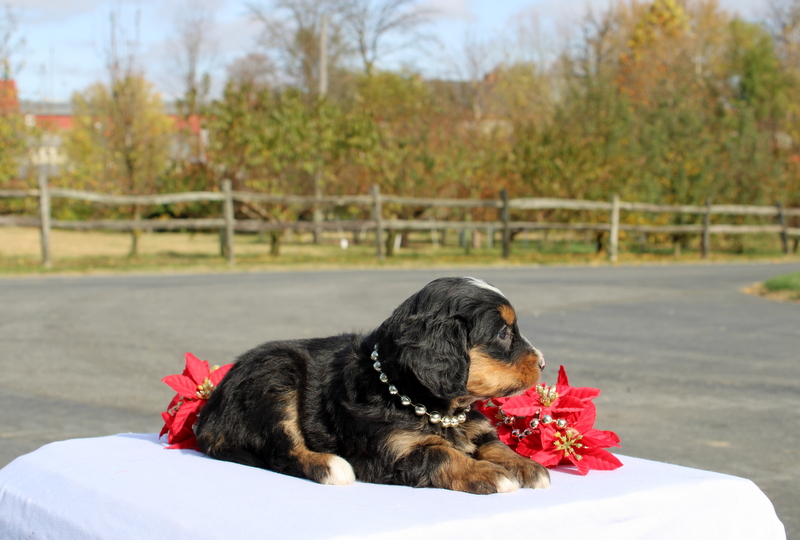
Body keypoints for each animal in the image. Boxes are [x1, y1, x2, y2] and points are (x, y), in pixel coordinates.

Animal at [195, 278, 552, 494]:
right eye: (503, 333)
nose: (543, 363)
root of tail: (209, 419)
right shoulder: (389, 451)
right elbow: (441, 453)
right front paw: (489, 474)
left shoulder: (476, 429)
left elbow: (496, 445)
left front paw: (528, 466)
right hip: (276, 375)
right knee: (282, 449)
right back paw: (330, 466)